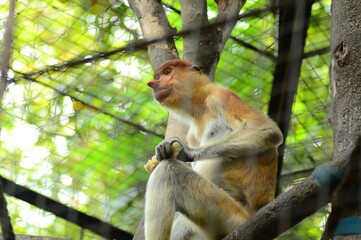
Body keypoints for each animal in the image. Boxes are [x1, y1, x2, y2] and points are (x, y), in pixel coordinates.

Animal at [143, 60, 282, 240]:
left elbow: (267, 129)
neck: (200, 105)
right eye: (158, 77)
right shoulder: (192, 133)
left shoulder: (221, 96)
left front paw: (185, 151)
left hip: (230, 217)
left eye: (167, 72)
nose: (153, 83)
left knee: (169, 170)